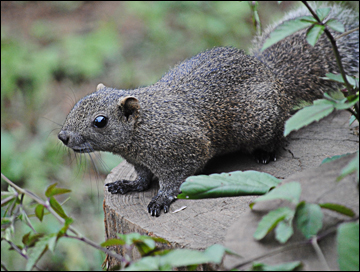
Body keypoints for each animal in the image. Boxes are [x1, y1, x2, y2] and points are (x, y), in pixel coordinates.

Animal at [57, 3, 358, 217]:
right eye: (77, 103)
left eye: (100, 121)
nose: (63, 136)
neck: (144, 128)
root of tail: (274, 77)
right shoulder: (140, 161)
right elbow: (142, 178)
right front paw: (128, 185)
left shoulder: (184, 148)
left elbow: (175, 178)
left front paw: (161, 199)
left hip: (259, 121)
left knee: (279, 131)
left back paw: (266, 153)